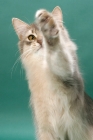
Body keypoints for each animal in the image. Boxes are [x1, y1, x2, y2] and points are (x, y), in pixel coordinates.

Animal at [12, 6, 93, 140]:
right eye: (31, 37)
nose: (40, 41)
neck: (44, 70)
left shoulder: (69, 78)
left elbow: (57, 54)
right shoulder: (45, 128)